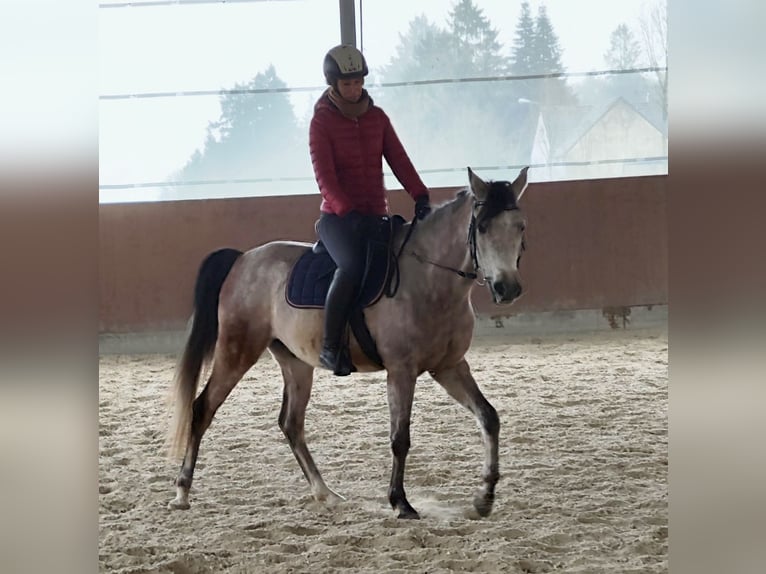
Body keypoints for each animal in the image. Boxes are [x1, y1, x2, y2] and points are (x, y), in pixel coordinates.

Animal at [167, 166, 529, 519]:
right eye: (482, 228)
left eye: (520, 227)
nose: (507, 288)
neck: (429, 280)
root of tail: (243, 259)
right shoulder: (401, 371)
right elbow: (400, 438)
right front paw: (400, 502)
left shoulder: (449, 366)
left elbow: (488, 417)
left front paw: (484, 498)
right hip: (236, 350)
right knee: (202, 409)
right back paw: (182, 492)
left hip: (295, 362)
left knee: (291, 423)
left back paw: (325, 493)